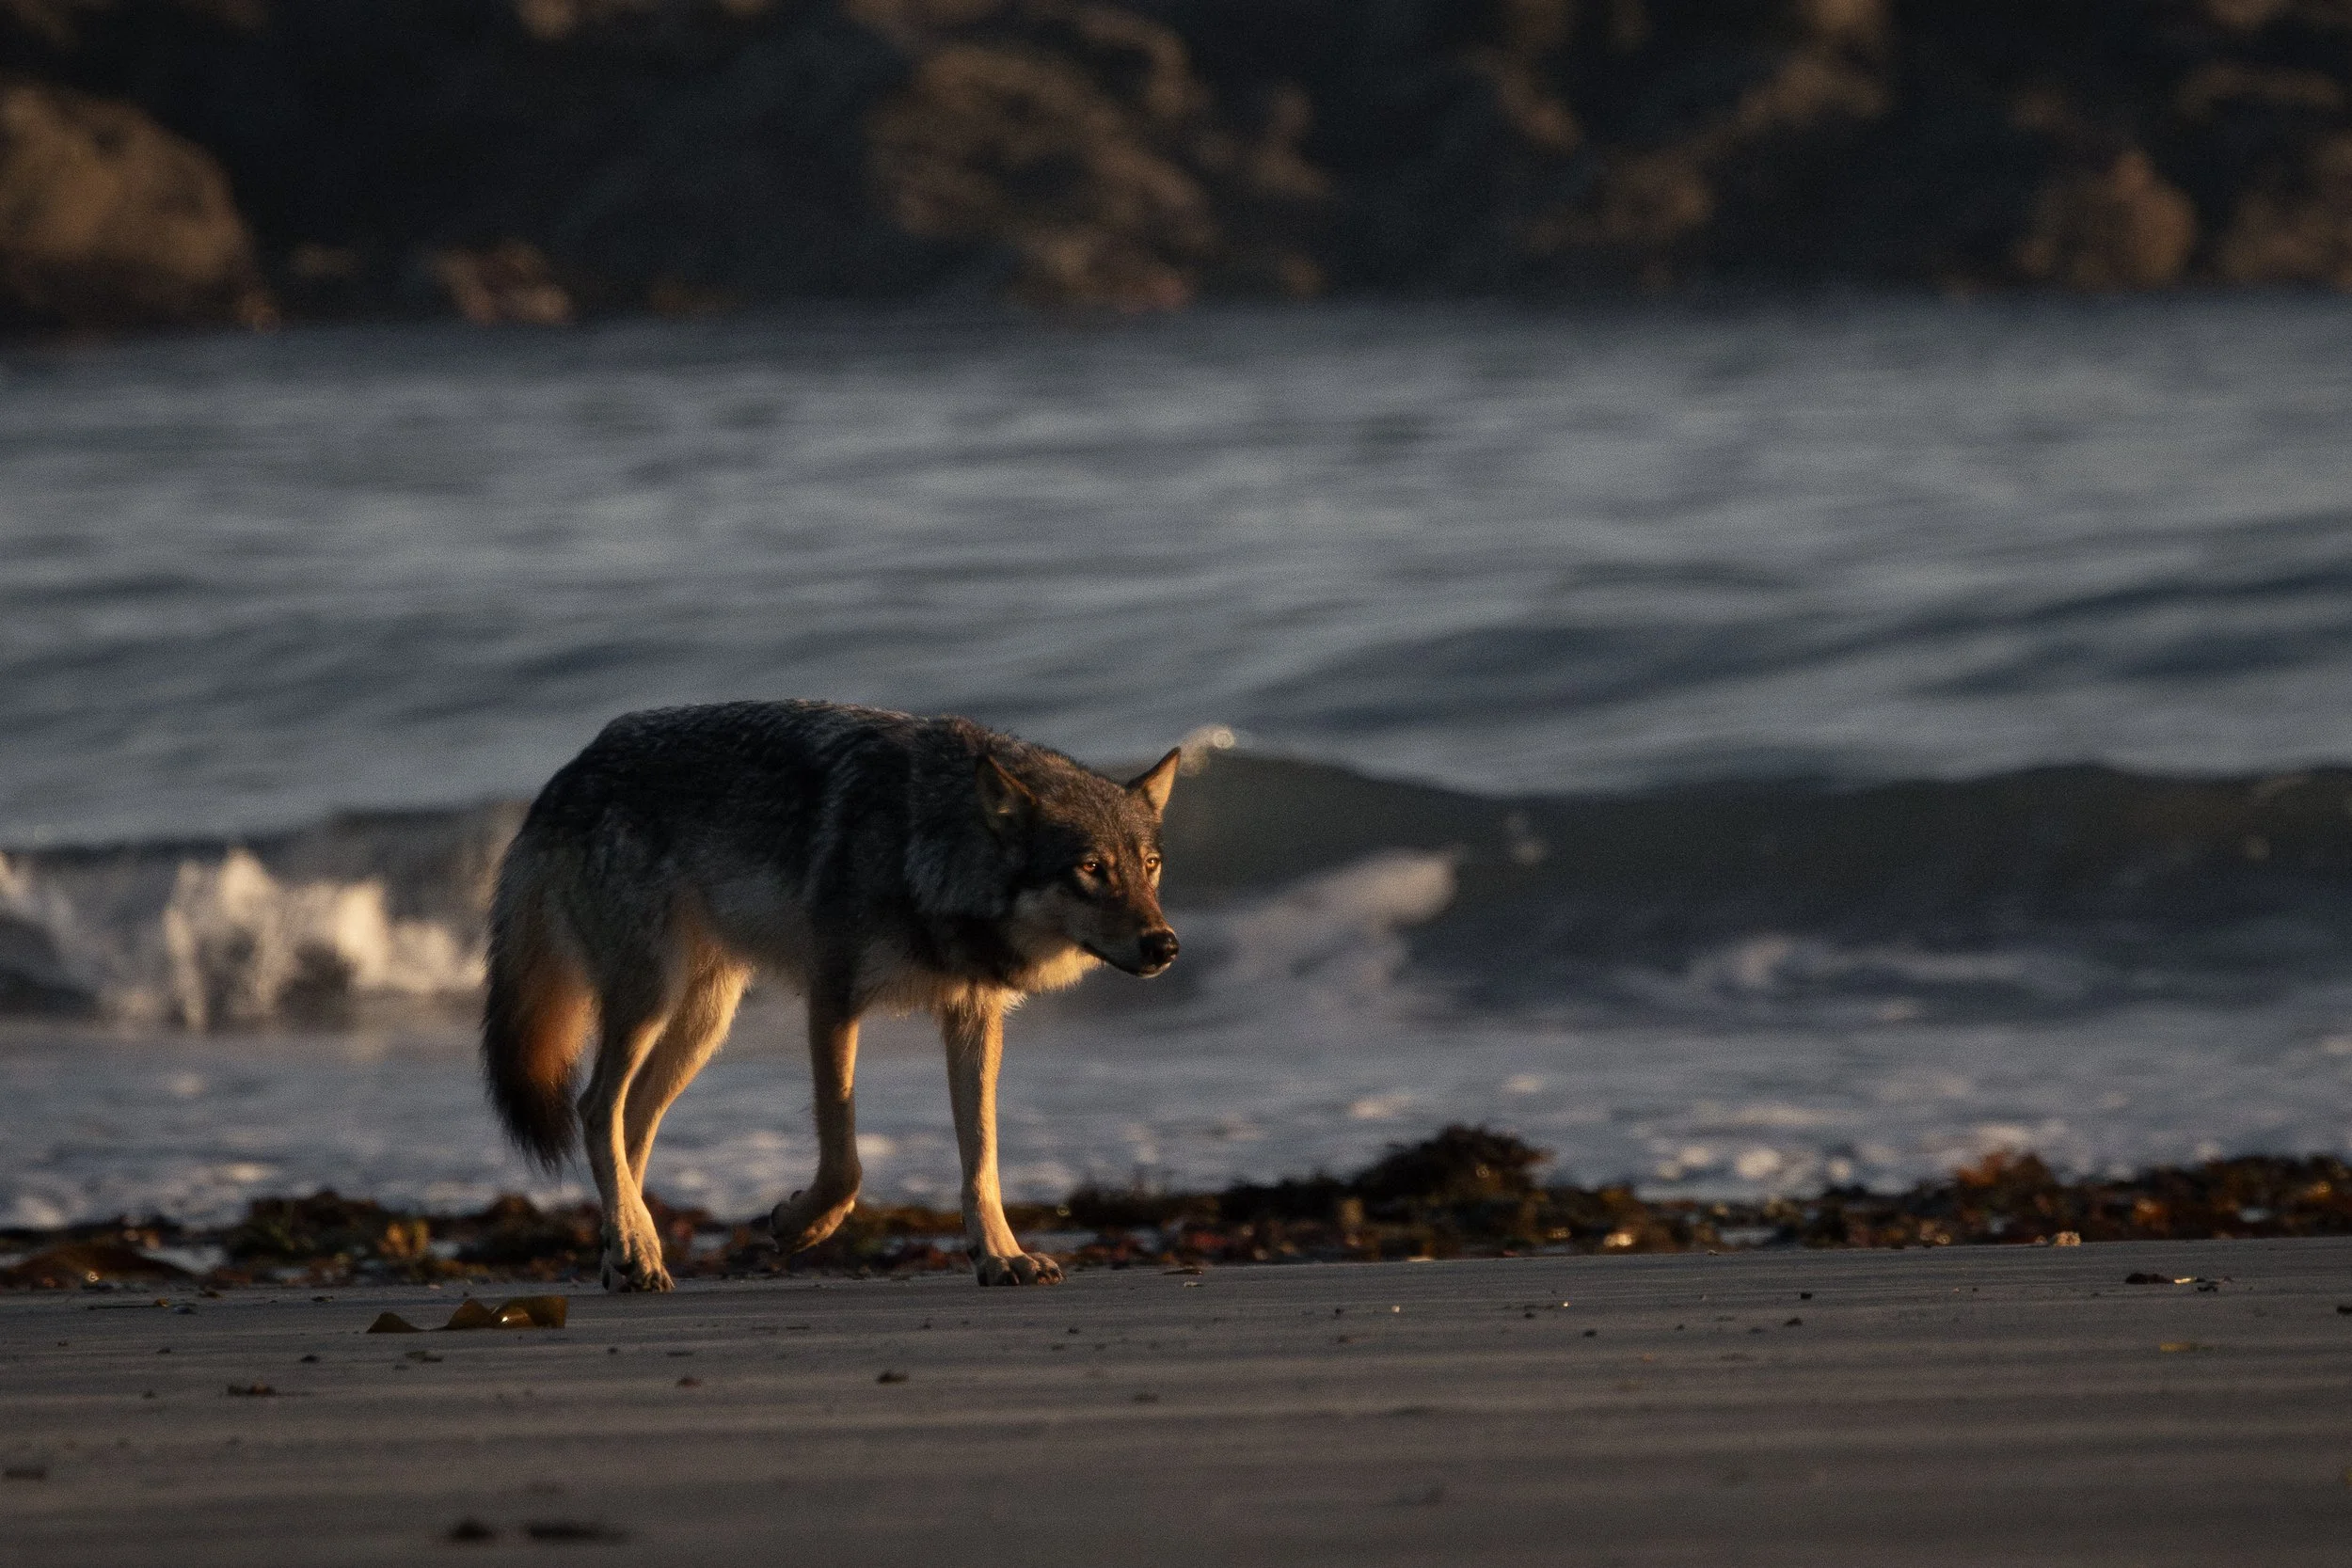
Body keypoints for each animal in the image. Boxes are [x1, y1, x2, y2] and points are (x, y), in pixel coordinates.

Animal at [480, 700, 1181, 1290]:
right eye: (1091, 869)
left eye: (1149, 866)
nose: (1165, 945)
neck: (921, 843)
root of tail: (570, 771)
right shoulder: (833, 999)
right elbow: (845, 1162)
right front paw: (800, 1225)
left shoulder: (974, 1019)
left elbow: (982, 1157)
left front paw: (1000, 1255)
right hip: (651, 1003)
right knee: (595, 1108)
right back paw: (633, 1243)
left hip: (701, 1025)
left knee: (629, 1124)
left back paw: (629, 1252)